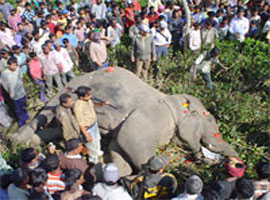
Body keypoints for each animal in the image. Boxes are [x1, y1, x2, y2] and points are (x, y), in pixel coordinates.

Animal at [11, 67, 237, 175]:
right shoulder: (155, 115)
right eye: (210, 121)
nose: (236, 163)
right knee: (44, 115)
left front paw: (107, 170)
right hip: (65, 93)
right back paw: (17, 141)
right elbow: (130, 137)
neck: (172, 100)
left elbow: (119, 147)